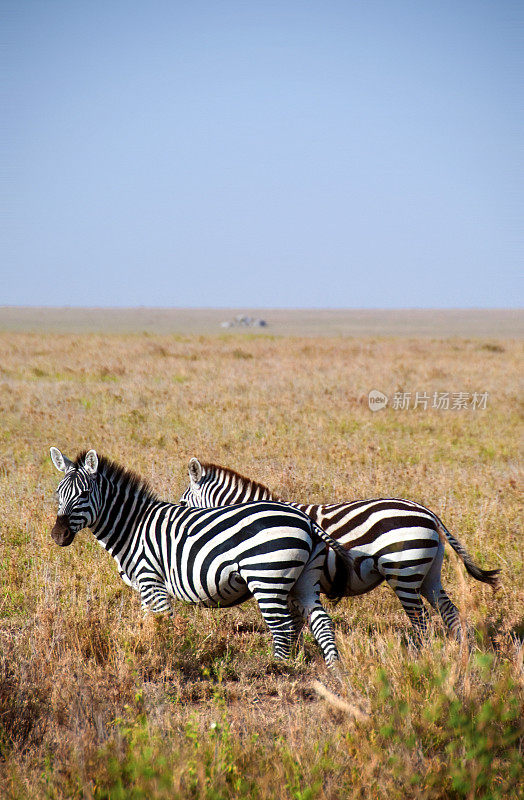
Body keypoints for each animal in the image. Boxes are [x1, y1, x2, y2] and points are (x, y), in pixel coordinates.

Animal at [49, 446, 354, 664]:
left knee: (283, 627)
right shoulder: (144, 588)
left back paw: (278, 669)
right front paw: (148, 653)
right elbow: (148, 625)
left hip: (267, 577)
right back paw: (334, 669)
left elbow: (163, 624)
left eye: (84, 494)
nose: (58, 535)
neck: (132, 526)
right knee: (321, 621)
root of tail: (306, 519)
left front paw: (166, 660)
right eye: (57, 494)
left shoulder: (152, 580)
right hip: (304, 580)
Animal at [181, 460, 504, 640]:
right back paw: (460, 652)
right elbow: (300, 620)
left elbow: (294, 620)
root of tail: (427, 511)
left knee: (421, 619)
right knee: (448, 611)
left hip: (404, 573)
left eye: (183, 503)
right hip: (430, 573)